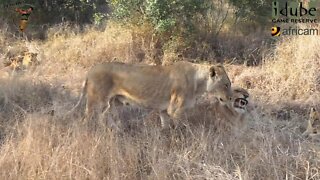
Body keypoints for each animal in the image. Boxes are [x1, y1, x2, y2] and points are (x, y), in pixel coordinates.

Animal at [70, 61, 231, 129]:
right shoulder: (175, 110)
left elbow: (165, 126)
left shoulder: (164, 110)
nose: (230, 98)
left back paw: (115, 131)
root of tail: (90, 70)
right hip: (96, 100)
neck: (199, 83)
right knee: (87, 118)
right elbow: (182, 128)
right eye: (226, 84)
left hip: (116, 102)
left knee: (105, 115)